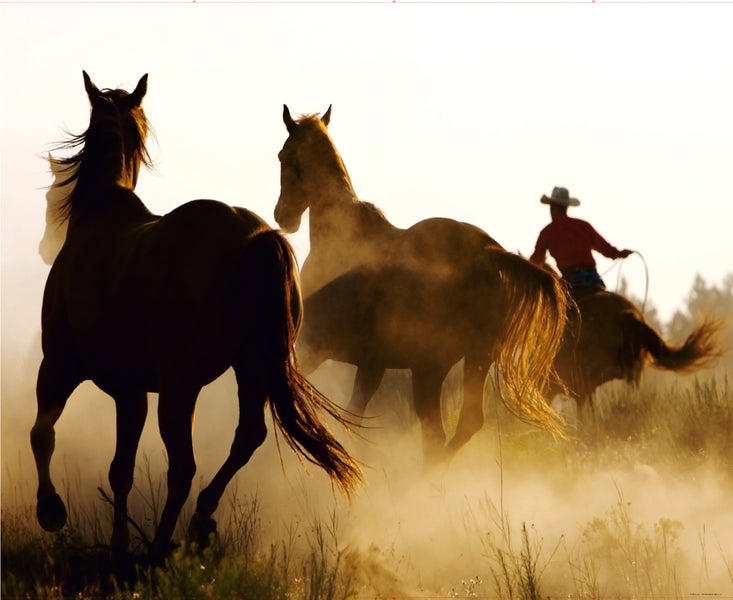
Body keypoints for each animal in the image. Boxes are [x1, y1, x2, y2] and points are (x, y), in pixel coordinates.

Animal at [31, 73, 362, 562]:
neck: (98, 220)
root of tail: (258, 238)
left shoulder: (59, 366)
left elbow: (44, 434)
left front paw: (52, 510)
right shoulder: (131, 391)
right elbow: (120, 469)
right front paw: (118, 544)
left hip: (180, 386)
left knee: (183, 466)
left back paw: (160, 547)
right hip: (248, 369)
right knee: (246, 437)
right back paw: (200, 521)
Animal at [274, 106, 571, 460]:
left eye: (283, 155)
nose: (282, 216)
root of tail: (489, 253)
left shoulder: (317, 347)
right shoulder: (371, 363)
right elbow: (354, 413)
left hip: (430, 368)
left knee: (437, 434)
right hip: (475, 359)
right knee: (463, 425)